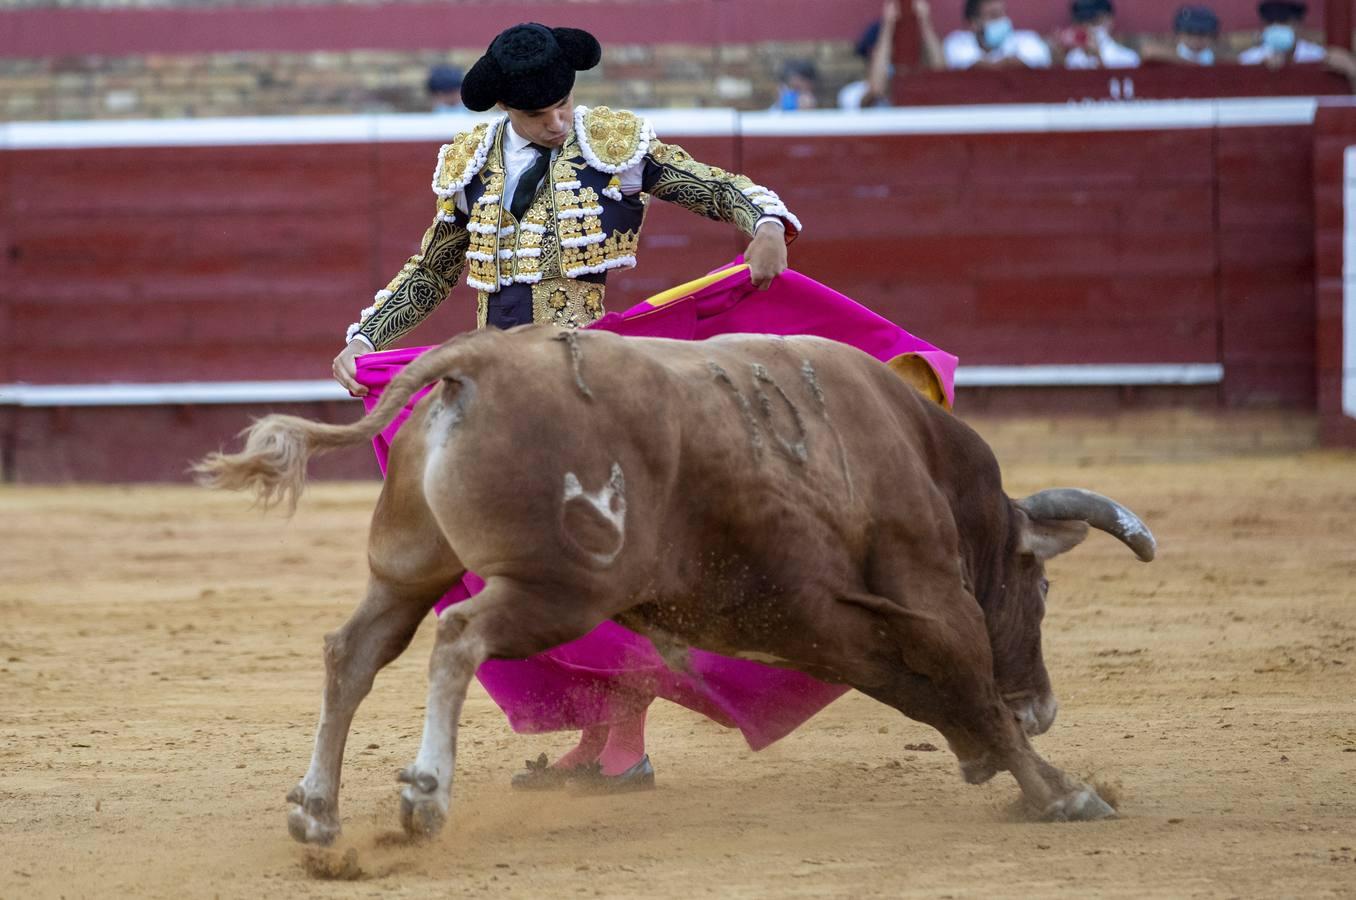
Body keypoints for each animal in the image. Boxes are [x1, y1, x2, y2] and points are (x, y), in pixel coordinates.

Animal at [197, 326, 1155, 845]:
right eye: (1040, 592)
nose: (1046, 706)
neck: (925, 458)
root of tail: (478, 363)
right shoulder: (931, 597)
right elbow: (970, 684)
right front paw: (1062, 793)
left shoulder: (823, 622)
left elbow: (929, 693)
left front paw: (1007, 767)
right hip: (557, 589)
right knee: (460, 636)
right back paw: (425, 795)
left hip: (406, 567)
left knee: (352, 651)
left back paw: (316, 812)